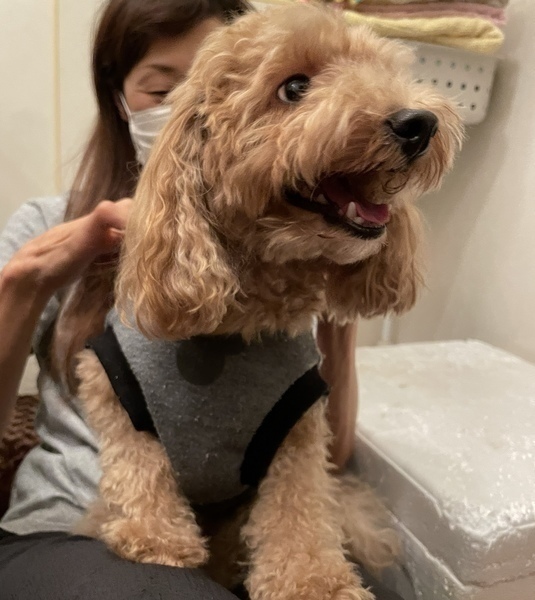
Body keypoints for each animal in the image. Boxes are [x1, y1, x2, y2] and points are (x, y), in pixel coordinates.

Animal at [75, 4, 462, 600]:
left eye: (382, 70)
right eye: (294, 88)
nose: (418, 123)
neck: (232, 331)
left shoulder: (298, 427)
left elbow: (297, 508)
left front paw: (313, 580)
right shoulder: (112, 387)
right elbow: (137, 466)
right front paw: (154, 537)